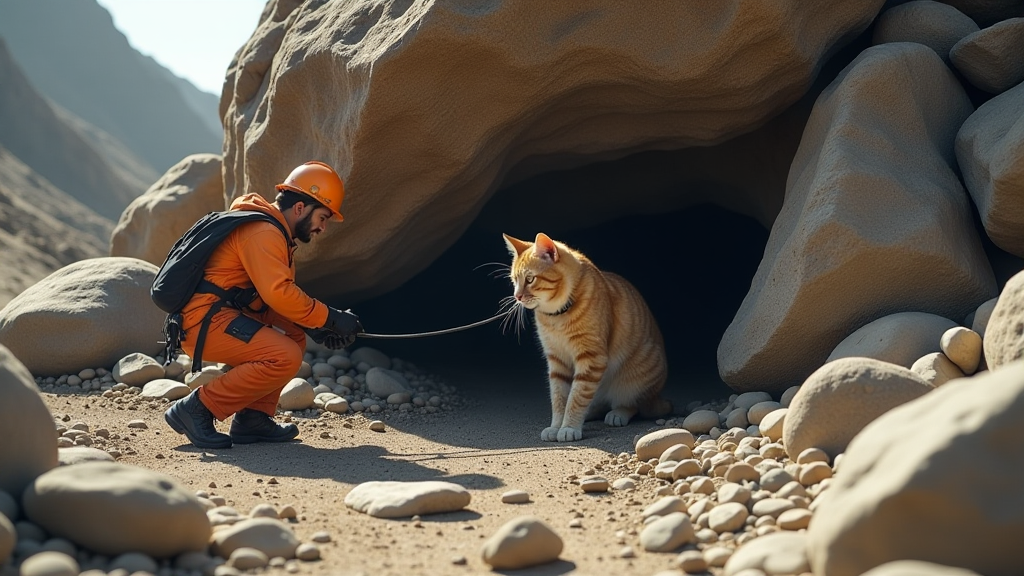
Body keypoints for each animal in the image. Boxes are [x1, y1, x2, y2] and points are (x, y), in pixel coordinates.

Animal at [503, 229, 671, 438]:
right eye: (514, 280)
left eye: (530, 279)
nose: (517, 296)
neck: (556, 317)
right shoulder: (557, 361)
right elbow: (559, 398)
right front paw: (556, 426)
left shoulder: (591, 358)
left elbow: (577, 397)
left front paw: (568, 427)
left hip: (636, 377)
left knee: (631, 404)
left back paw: (617, 413)